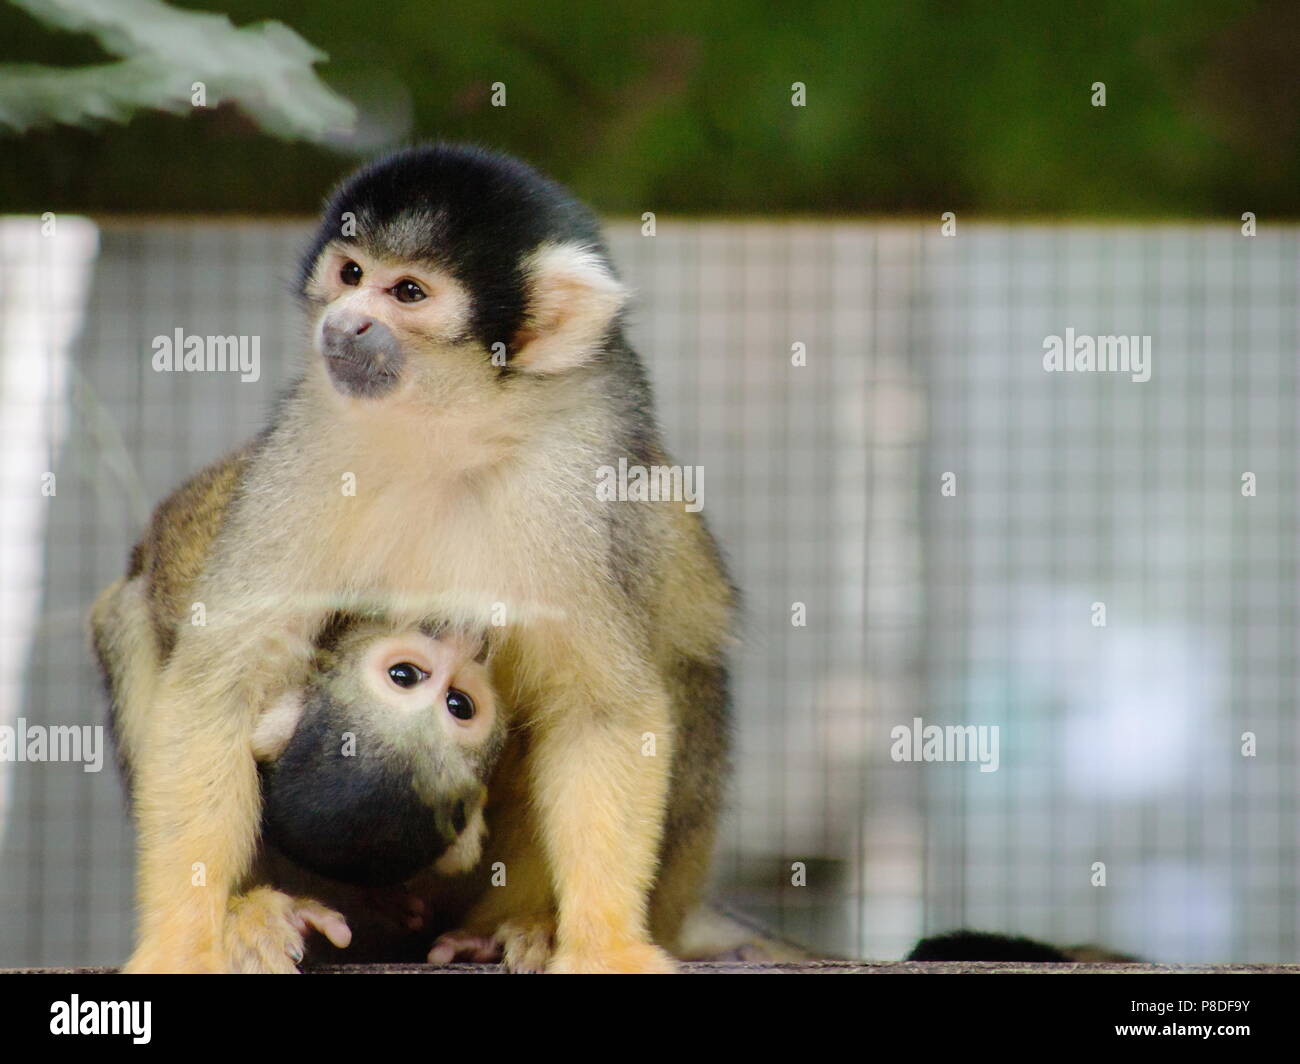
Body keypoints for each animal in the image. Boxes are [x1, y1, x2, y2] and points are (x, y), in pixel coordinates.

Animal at [96, 143, 738, 967]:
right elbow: (221, 681)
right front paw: (184, 936)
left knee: (686, 668)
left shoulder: (576, 475)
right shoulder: (314, 433)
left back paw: (521, 923)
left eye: (408, 292)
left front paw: (604, 940)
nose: (346, 323)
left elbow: (601, 710)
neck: (448, 433)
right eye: (350, 273)